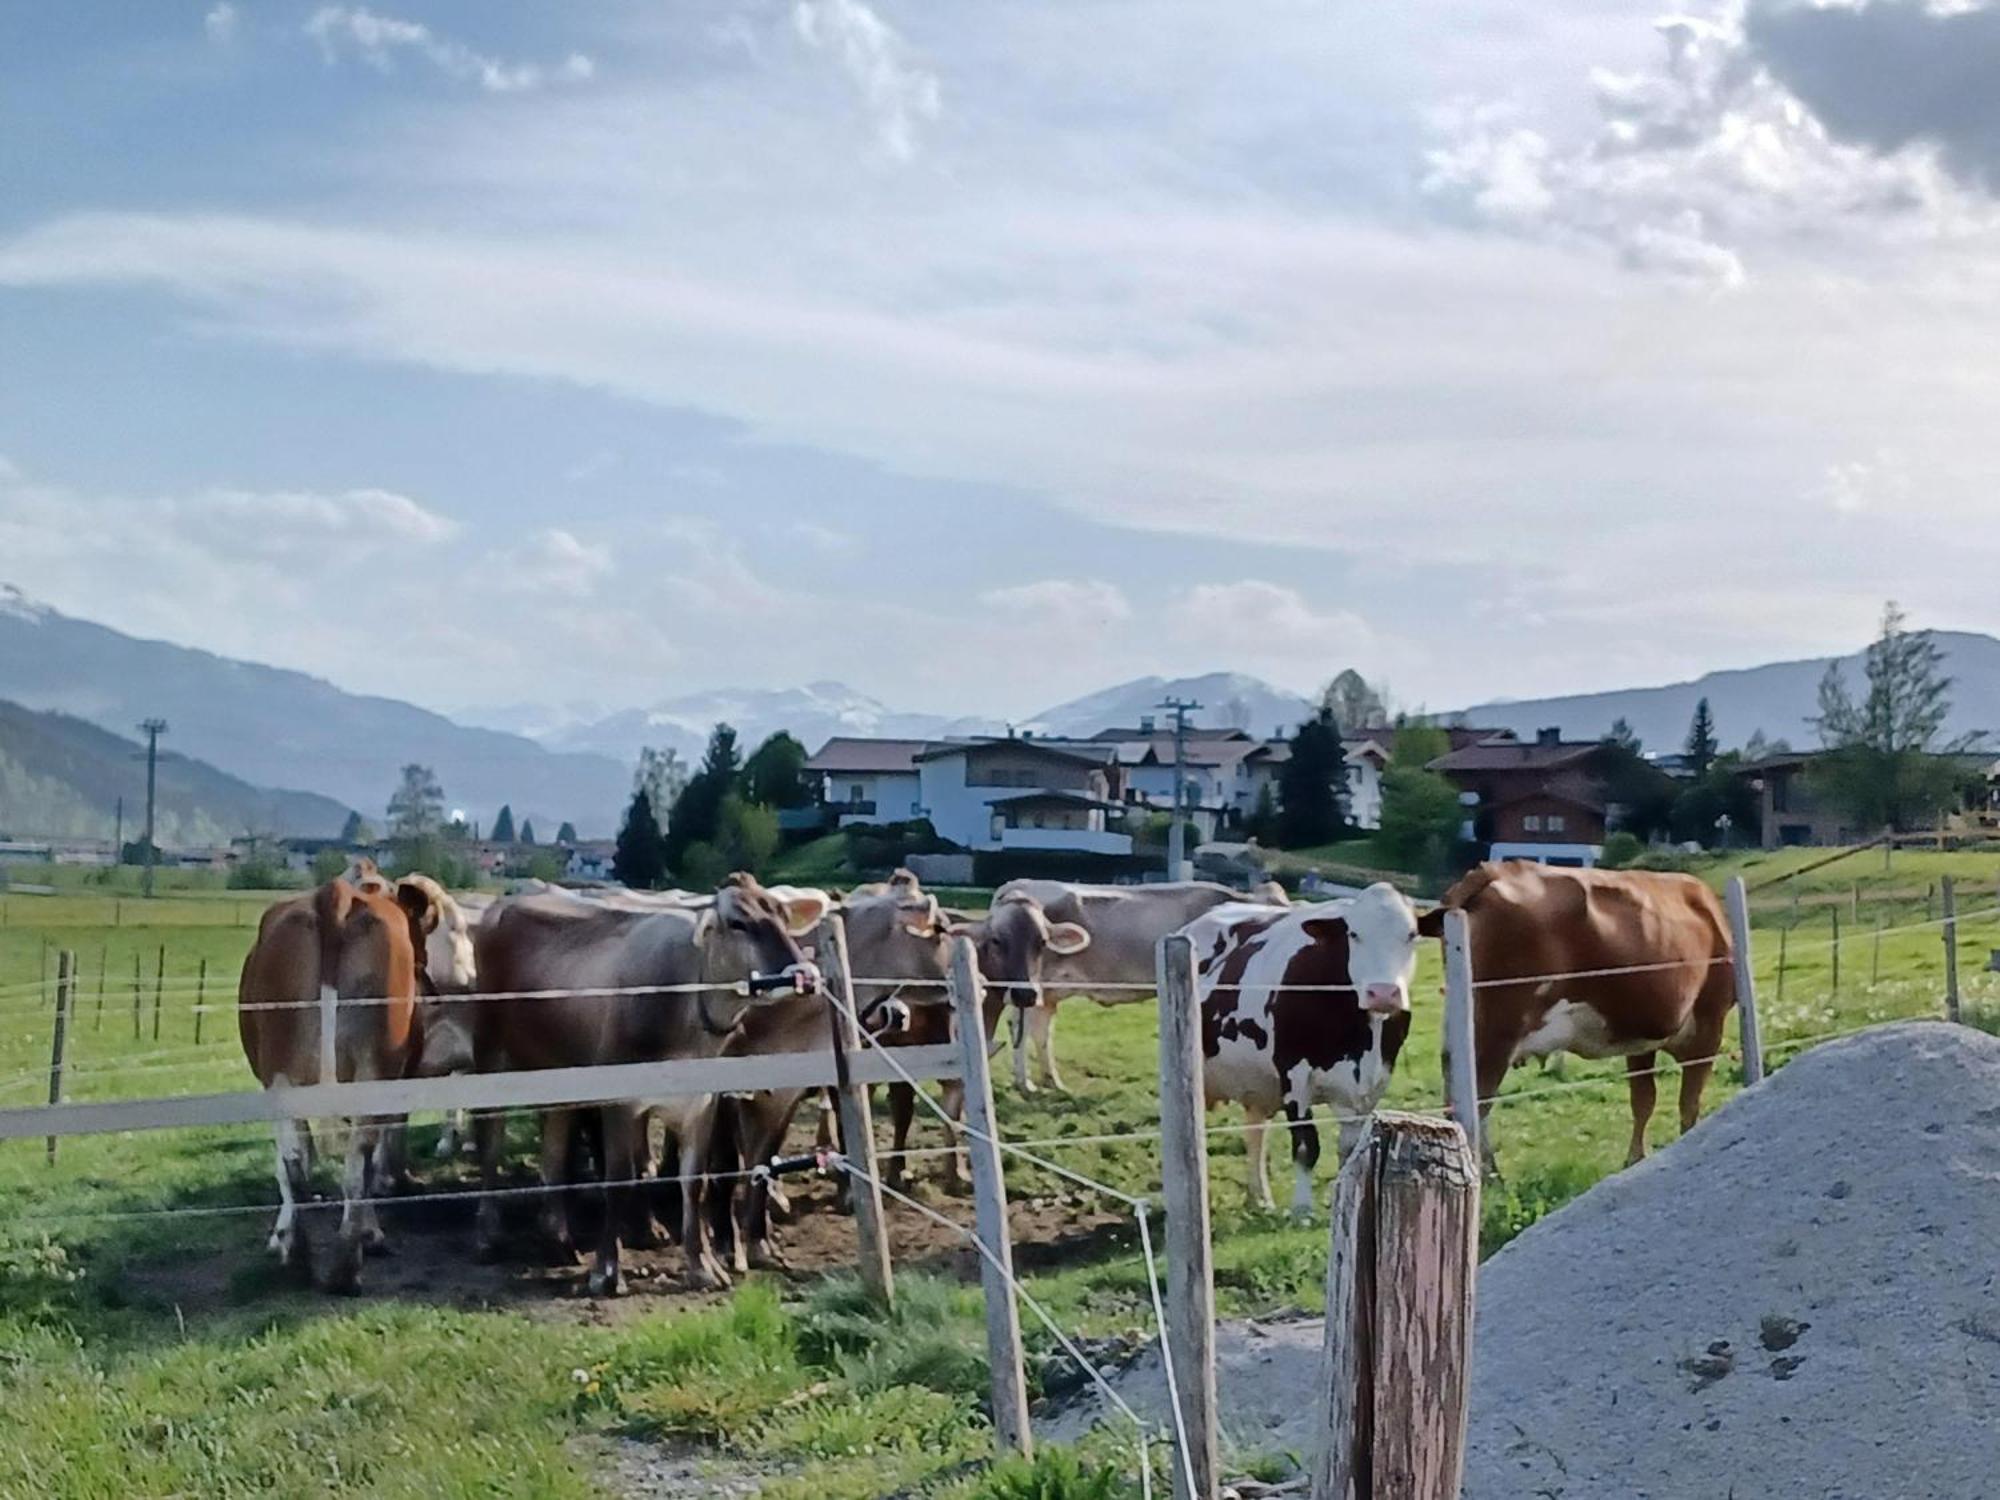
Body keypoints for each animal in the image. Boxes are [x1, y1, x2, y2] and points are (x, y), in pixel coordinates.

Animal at [237, 880, 442, 1296]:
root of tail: (335, 893)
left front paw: (279, 1237)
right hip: (368, 1071)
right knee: (350, 1159)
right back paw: (345, 1260)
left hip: (282, 1074)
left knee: (298, 1161)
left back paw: (307, 1258)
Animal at [470, 876, 828, 1296]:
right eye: (738, 923)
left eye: (784, 917)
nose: (804, 975)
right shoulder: (620, 1102)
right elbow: (619, 1180)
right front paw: (606, 1272)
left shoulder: (702, 1102)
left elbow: (694, 1183)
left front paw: (702, 1267)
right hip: (490, 1052)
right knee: (490, 1142)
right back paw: (486, 1235)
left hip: (557, 1073)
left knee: (554, 1151)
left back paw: (558, 1240)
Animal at [988, 880, 1296, 1096]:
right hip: (1033, 985)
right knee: (1021, 1025)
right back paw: (1026, 1082)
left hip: (1048, 991)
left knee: (1040, 1030)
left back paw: (1052, 1081)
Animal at [1184, 888, 1424, 1216]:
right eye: (1354, 934)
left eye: (1412, 935)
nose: (1383, 992)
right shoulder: (1294, 1074)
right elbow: (1305, 1143)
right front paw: (1302, 1210)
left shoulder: (1372, 1084)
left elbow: (1352, 1149)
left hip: (1255, 1083)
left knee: (1255, 1133)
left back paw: (1260, 1198)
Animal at [1424, 856, 1736, 1176]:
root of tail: (1494, 871)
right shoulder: (1710, 1024)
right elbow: (1689, 1102)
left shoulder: (1640, 1040)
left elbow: (1643, 1099)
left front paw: (1634, 1159)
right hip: (1497, 1030)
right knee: (1479, 1099)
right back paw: (1486, 1173)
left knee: (1455, 1091)